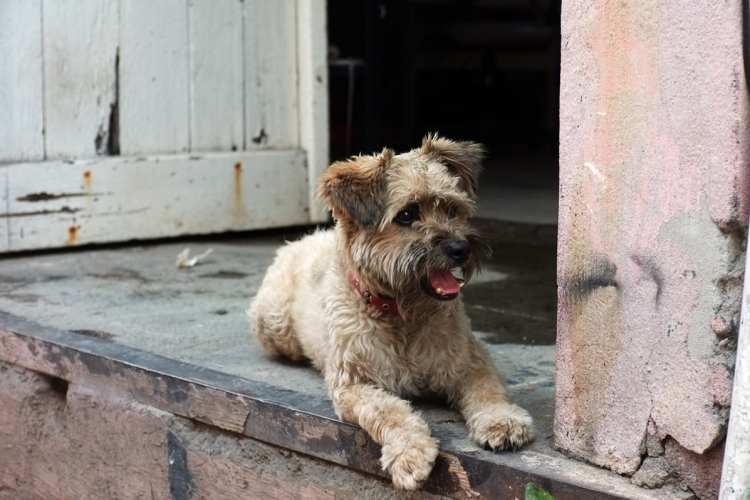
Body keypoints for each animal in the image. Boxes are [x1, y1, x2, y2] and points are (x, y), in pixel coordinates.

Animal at [250, 135, 536, 490]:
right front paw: (410, 453)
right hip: (275, 327)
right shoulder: (354, 384)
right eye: (406, 214)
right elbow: (389, 411)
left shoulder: (469, 361)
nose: (461, 249)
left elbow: (488, 389)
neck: (401, 316)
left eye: (452, 209)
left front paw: (503, 420)